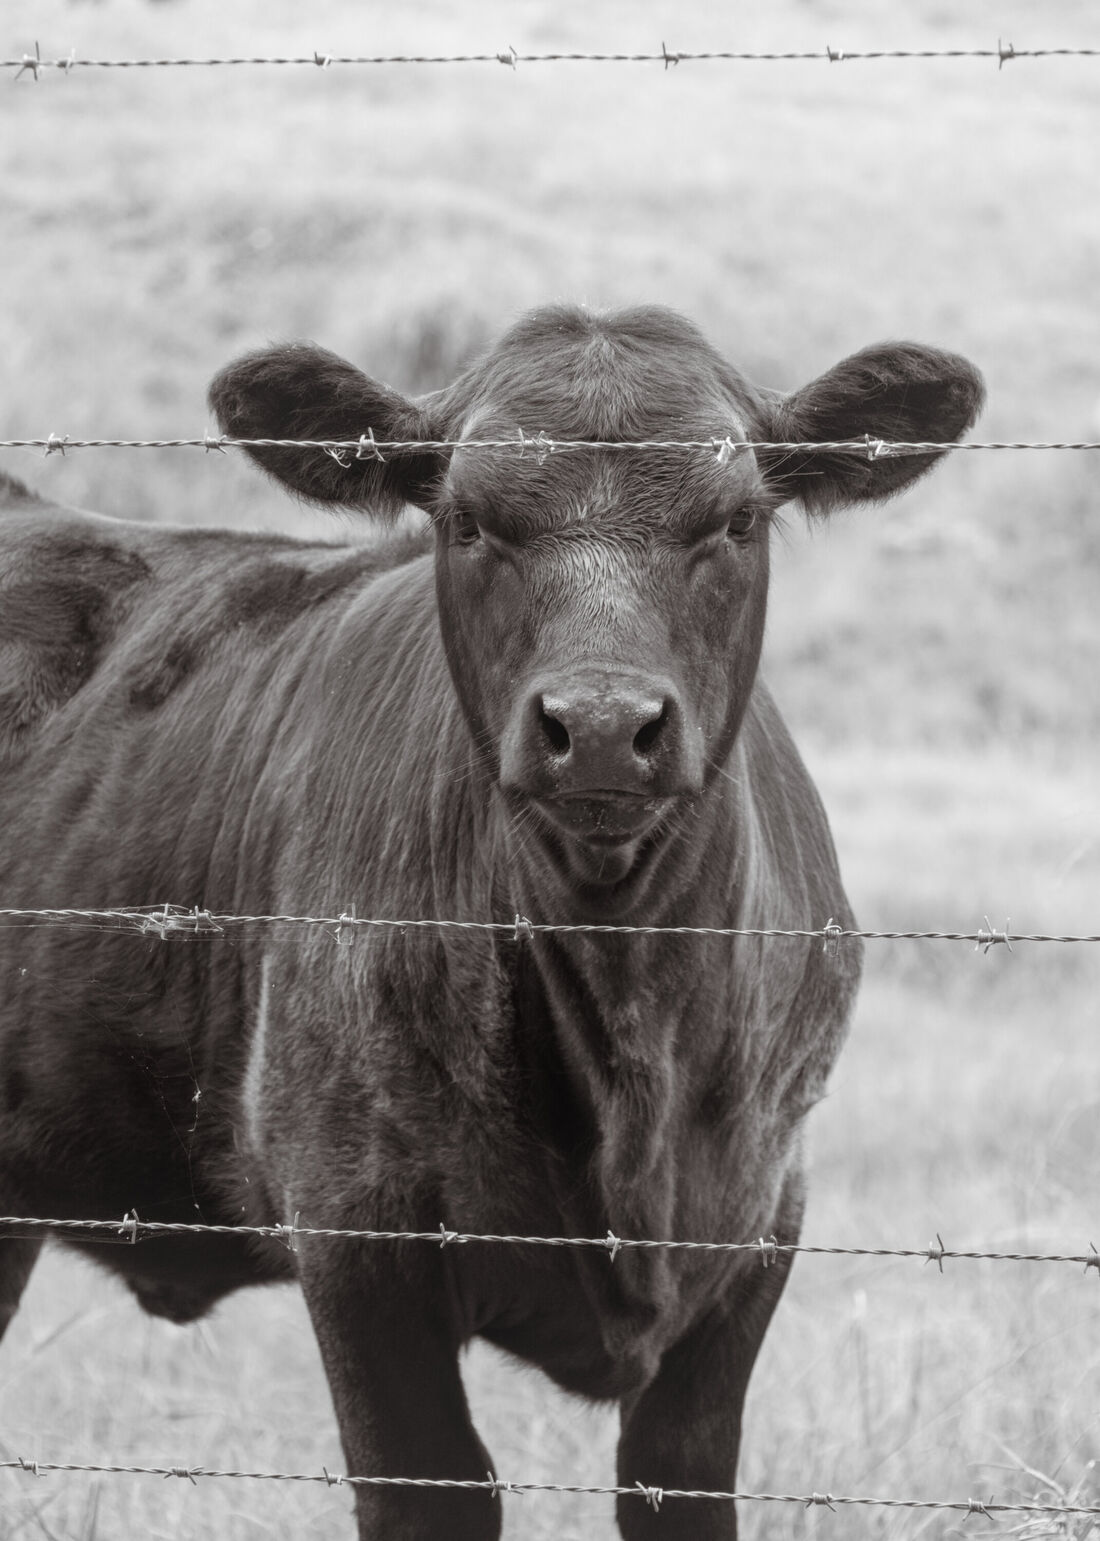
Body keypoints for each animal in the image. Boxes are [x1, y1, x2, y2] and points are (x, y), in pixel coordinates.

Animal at [0, 305, 982, 1539]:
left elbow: (677, 1481)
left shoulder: (760, 1221)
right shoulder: (356, 1227)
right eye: (466, 520)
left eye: (738, 517)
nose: (602, 725)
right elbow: (433, 1485)